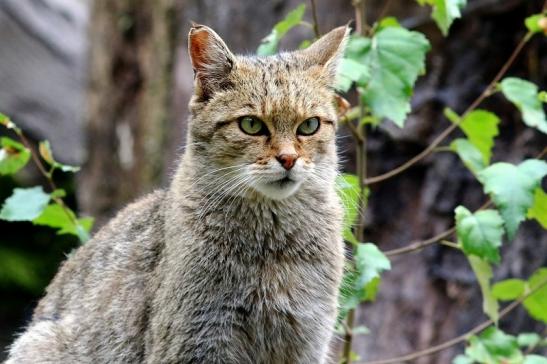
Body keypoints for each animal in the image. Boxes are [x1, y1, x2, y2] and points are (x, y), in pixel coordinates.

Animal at [6, 23, 348, 364]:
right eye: (251, 125)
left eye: (309, 126)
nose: (288, 159)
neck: (272, 243)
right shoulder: (197, 341)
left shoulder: (305, 341)